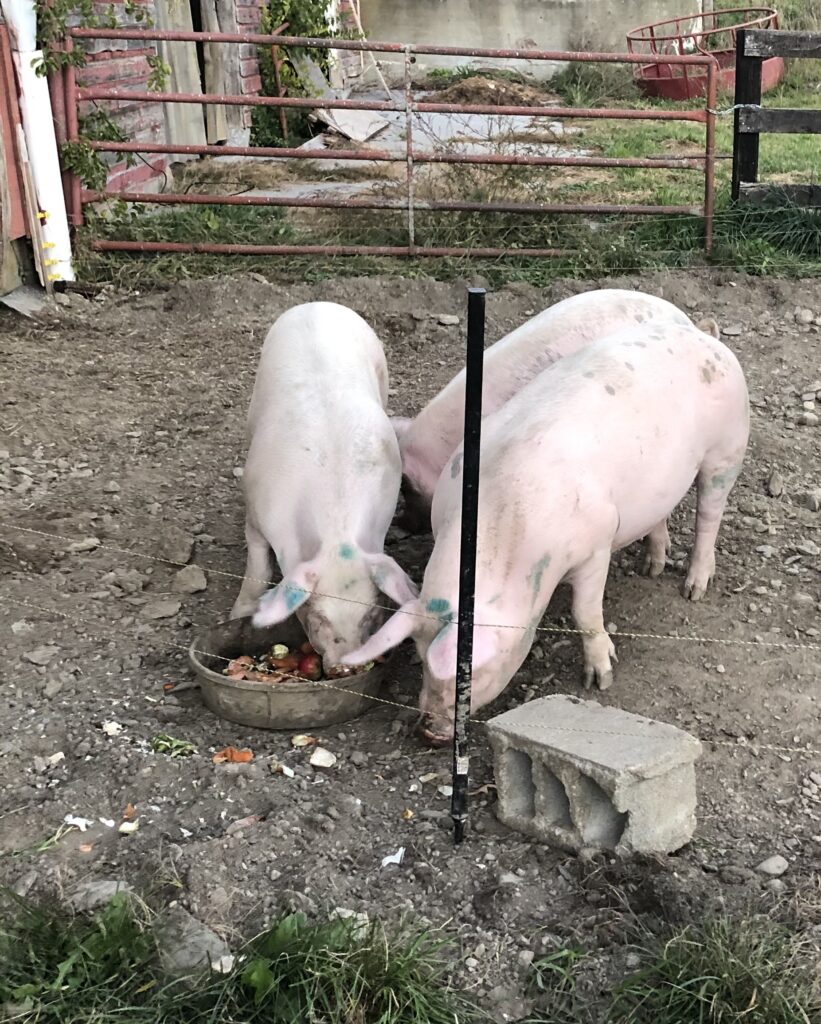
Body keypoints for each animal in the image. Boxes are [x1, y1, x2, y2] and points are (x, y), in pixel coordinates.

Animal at [230, 301, 418, 668]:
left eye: (371, 615)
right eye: (316, 617)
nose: (344, 666)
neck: (335, 532)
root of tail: (318, 305)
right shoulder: (256, 512)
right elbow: (257, 565)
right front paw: (238, 615)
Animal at [341, 319, 749, 743]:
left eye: (468, 677)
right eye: (420, 658)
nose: (428, 732)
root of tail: (703, 334)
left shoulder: (596, 546)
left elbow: (585, 613)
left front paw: (601, 679)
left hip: (728, 447)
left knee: (709, 514)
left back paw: (693, 589)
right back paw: (651, 568)